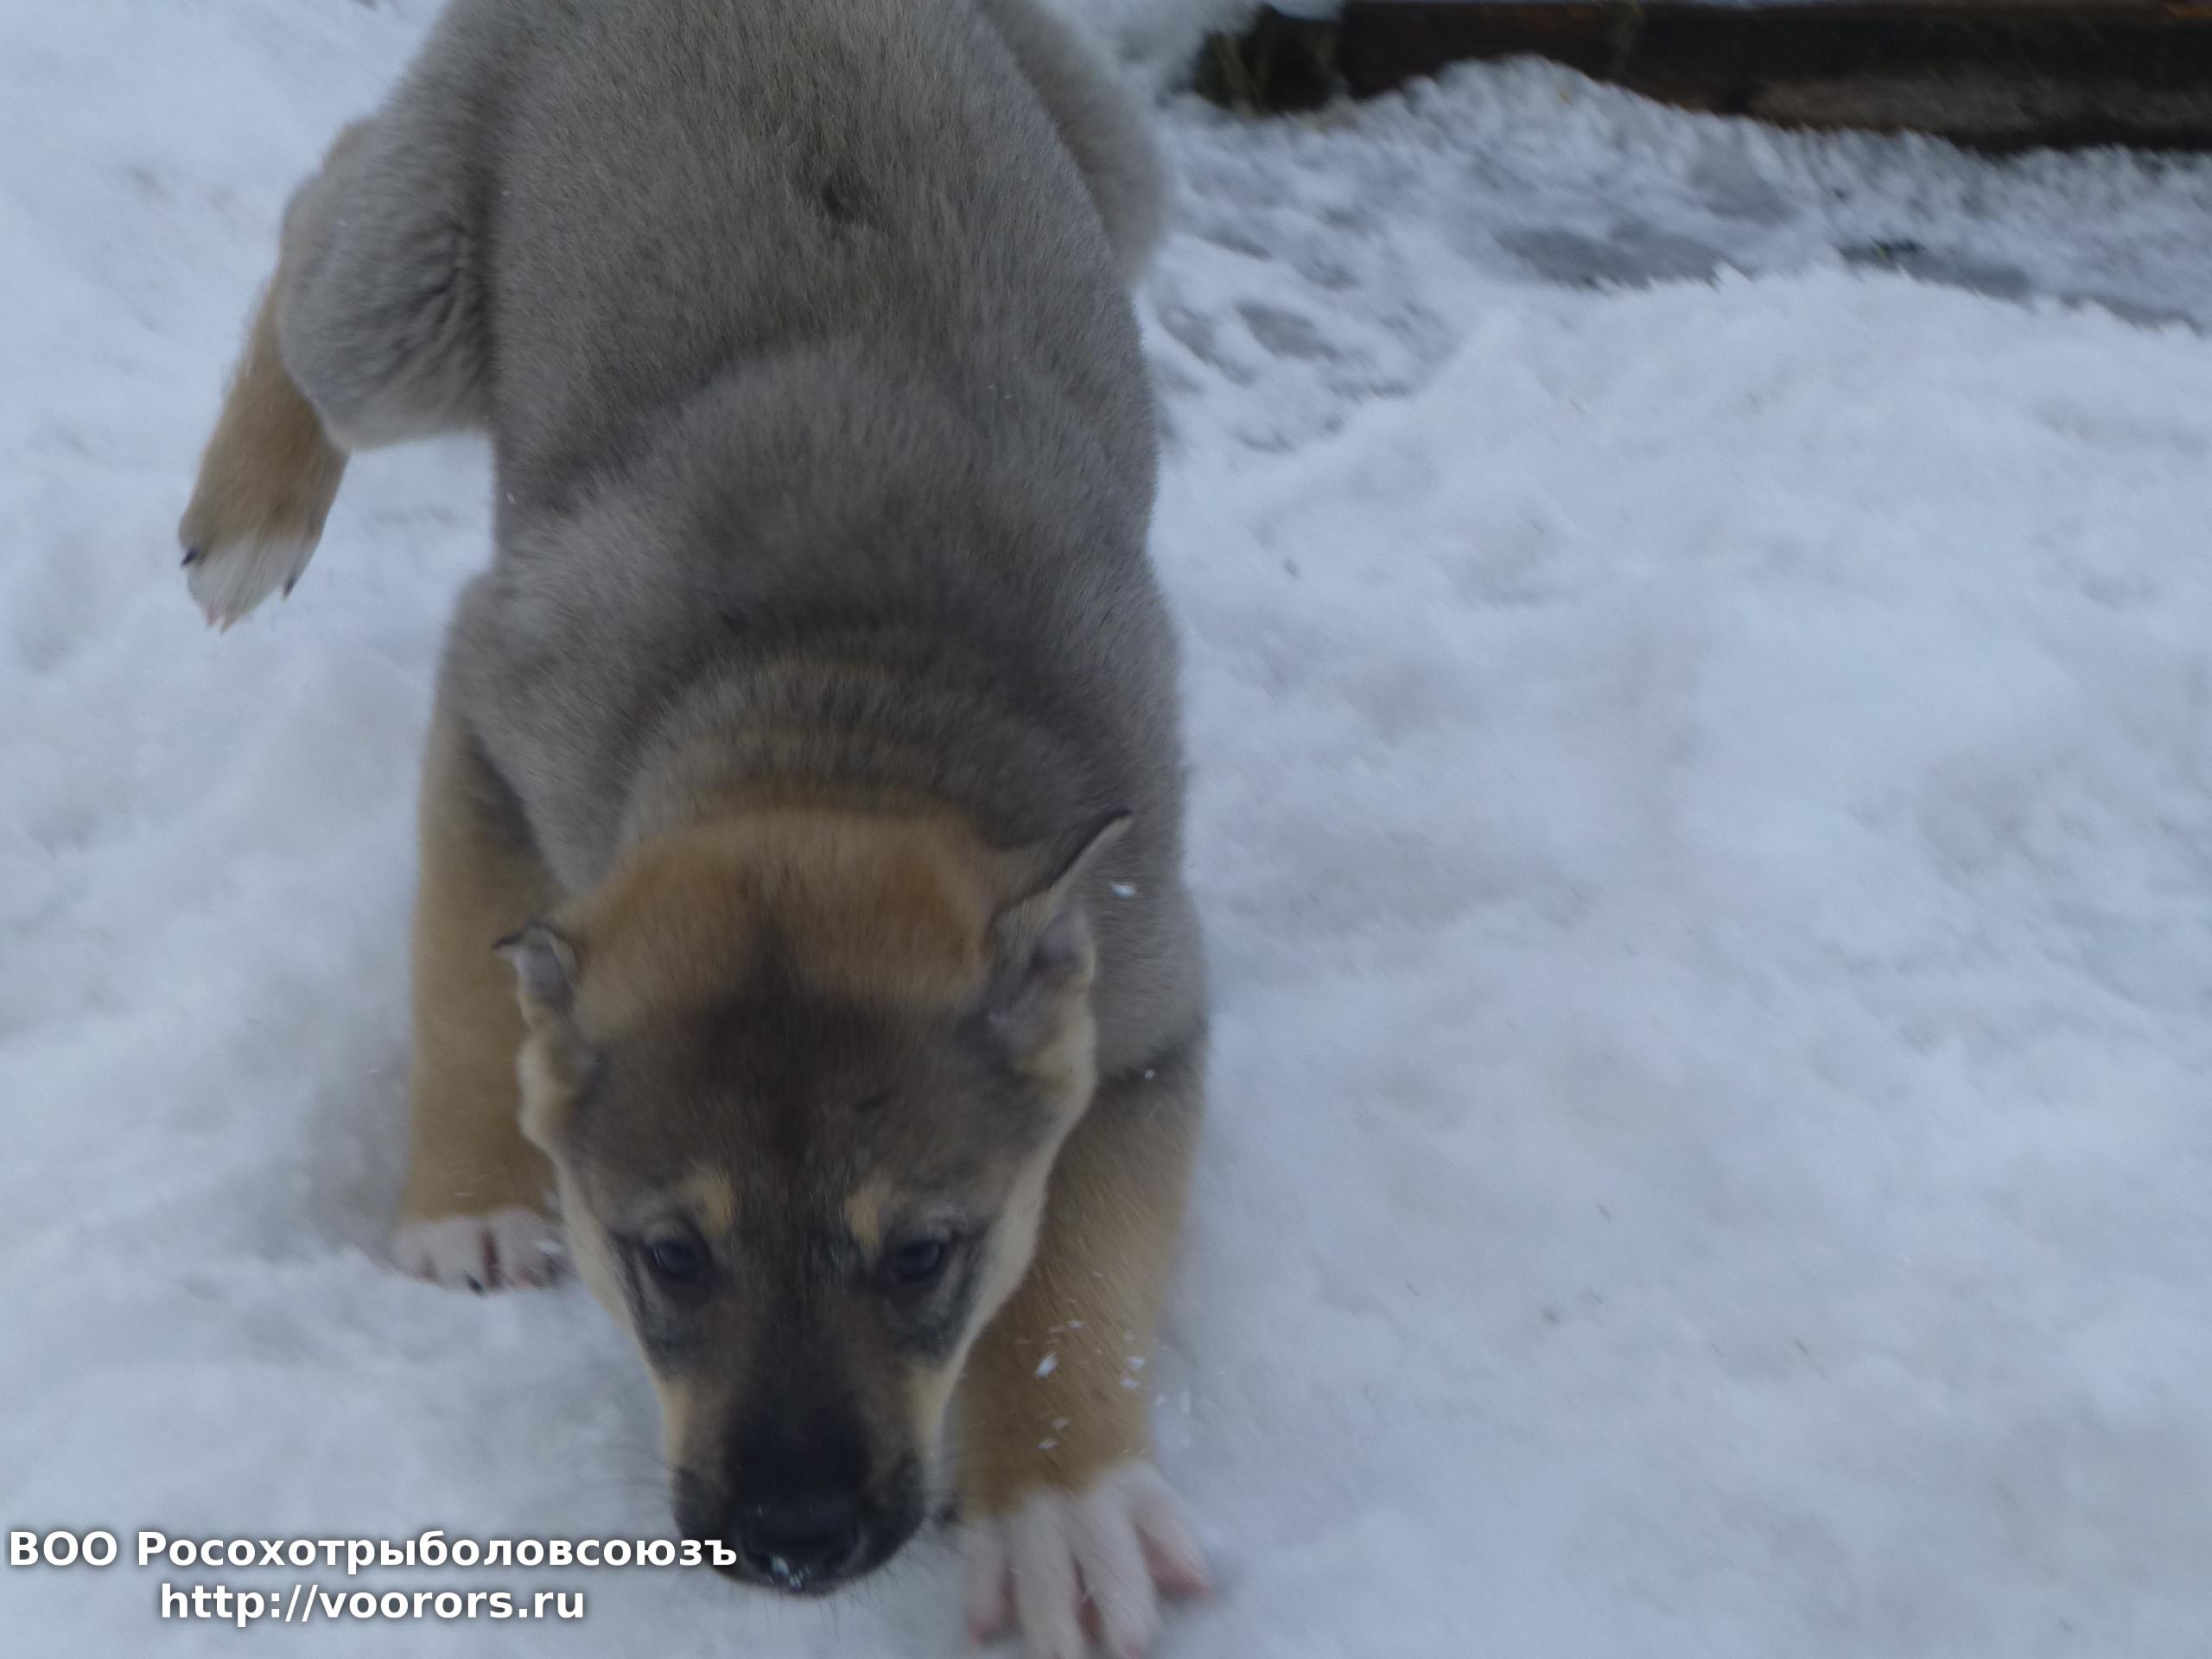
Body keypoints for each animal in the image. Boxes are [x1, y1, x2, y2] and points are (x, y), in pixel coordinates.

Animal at [175, 1, 1209, 1652]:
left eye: (925, 1254)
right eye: (668, 1256)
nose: (797, 1541)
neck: (841, 726)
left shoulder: (1151, 1006)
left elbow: (1087, 1270)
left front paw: (1063, 1502)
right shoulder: (497, 713)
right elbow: (465, 988)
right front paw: (466, 1209)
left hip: (1122, 182)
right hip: (403, 305)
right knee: (326, 209)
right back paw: (250, 512)